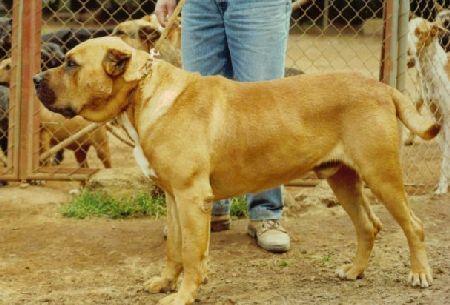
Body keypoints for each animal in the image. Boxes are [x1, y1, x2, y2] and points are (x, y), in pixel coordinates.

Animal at [34, 38, 440, 304]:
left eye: (70, 63)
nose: (36, 79)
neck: (143, 94)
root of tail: (382, 86)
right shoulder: (174, 198)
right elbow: (175, 249)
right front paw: (165, 282)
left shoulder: (191, 198)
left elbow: (192, 253)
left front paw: (183, 295)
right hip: (342, 179)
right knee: (368, 226)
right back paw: (354, 271)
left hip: (381, 175)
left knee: (414, 226)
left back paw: (420, 274)